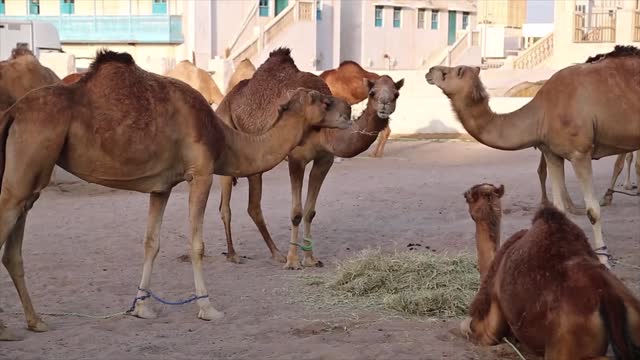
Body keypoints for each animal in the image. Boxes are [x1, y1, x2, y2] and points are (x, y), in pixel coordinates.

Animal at [0, 50, 352, 340]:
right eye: (323, 101)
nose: (348, 109)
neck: (223, 137)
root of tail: (14, 111)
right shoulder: (201, 173)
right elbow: (196, 245)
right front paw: (207, 308)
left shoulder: (161, 187)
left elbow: (151, 243)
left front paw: (142, 307)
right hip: (29, 157)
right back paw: (10, 329)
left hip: (31, 177)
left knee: (14, 244)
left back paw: (36, 321)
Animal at [218, 47, 402, 268]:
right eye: (372, 93)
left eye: (396, 93)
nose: (384, 105)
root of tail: (228, 96)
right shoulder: (297, 159)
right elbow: (296, 212)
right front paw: (293, 261)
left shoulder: (324, 160)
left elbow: (310, 211)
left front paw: (311, 259)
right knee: (230, 207)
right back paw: (234, 254)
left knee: (251, 206)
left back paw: (275, 253)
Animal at [424, 45, 640, 268]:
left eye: (450, 71)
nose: (430, 70)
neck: (542, 112)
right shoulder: (553, 153)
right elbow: (559, 209)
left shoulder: (580, 153)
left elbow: (593, 211)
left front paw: (604, 261)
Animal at [460, 184, 640, 358]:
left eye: (471, 195)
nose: (464, 193)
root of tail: (610, 297)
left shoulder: (490, 325)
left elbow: (466, 327)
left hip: (565, 345)